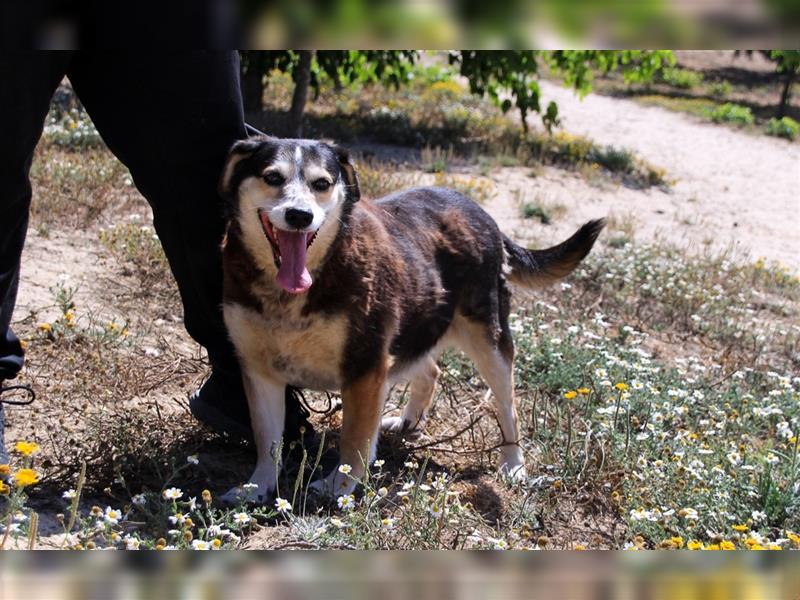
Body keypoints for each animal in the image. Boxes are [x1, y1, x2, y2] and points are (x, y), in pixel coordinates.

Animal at [216, 136, 604, 502]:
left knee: (509, 406)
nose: (300, 215)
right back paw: (406, 424)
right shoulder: (259, 369)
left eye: (322, 184)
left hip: (488, 342)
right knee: (429, 371)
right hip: (413, 327)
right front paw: (257, 488)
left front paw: (340, 485)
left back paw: (513, 464)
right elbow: (268, 440)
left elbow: (354, 438)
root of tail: (484, 215)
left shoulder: (365, 365)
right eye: (272, 177)